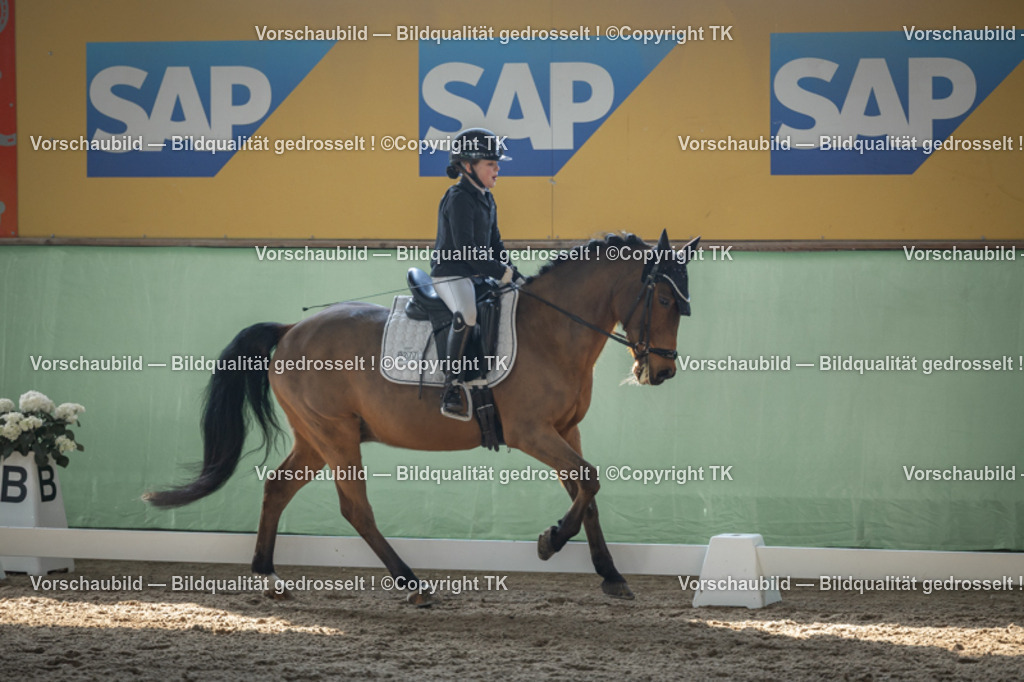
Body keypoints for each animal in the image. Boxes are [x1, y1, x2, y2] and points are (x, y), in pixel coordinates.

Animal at [145, 230, 700, 606]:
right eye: (664, 298)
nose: (663, 372)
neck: (552, 330)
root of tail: (289, 331)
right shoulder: (534, 433)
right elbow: (589, 480)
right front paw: (549, 543)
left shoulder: (567, 430)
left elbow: (587, 494)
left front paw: (611, 575)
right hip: (336, 435)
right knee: (355, 509)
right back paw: (412, 582)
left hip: (316, 437)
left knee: (278, 489)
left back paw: (267, 575)